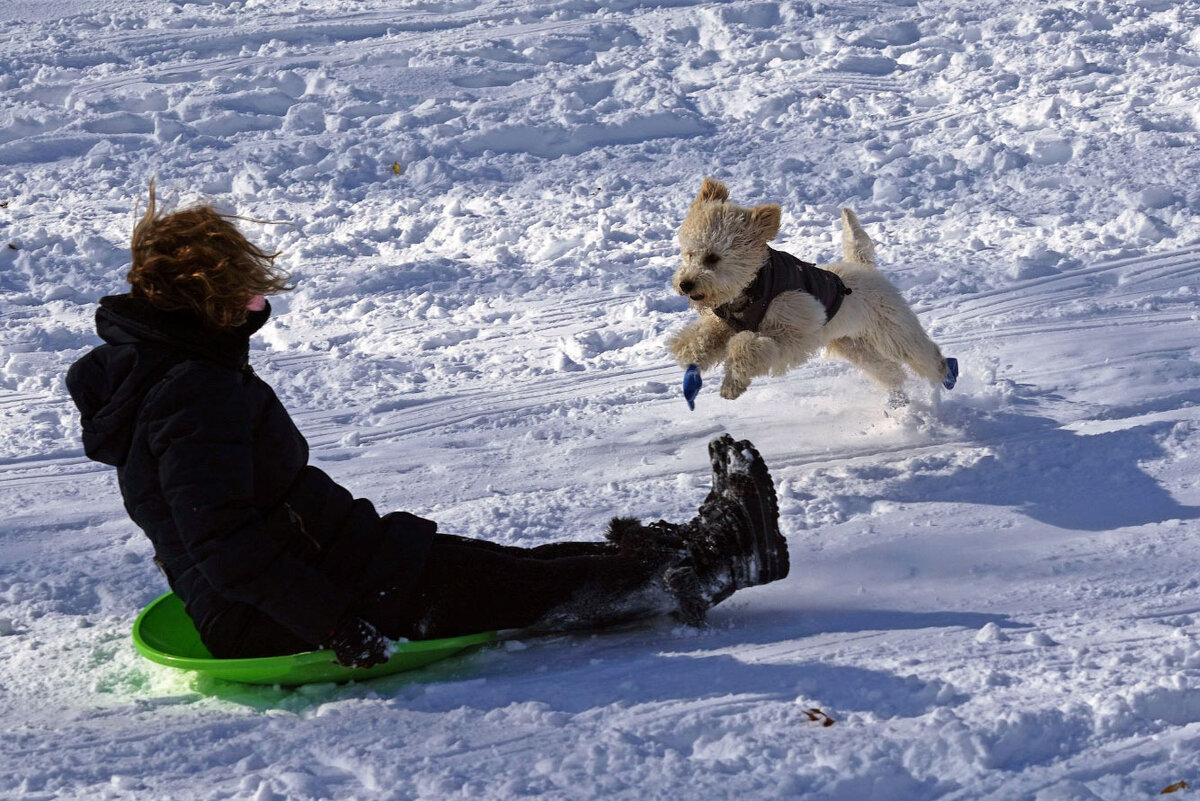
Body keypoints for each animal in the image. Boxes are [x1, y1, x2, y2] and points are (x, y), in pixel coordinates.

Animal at [667, 181, 955, 407]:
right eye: (689, 254)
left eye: (713, 258)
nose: (686, 284)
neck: (754, 286)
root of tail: (864, 266)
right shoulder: (725, 323)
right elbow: (705, 336)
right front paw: (690, 352)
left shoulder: (790, 332)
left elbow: (749, 347)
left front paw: (732, 383)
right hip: (855, 346)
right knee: (890, 372)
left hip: (893, 333)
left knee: (926, 357)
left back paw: (947, 375)